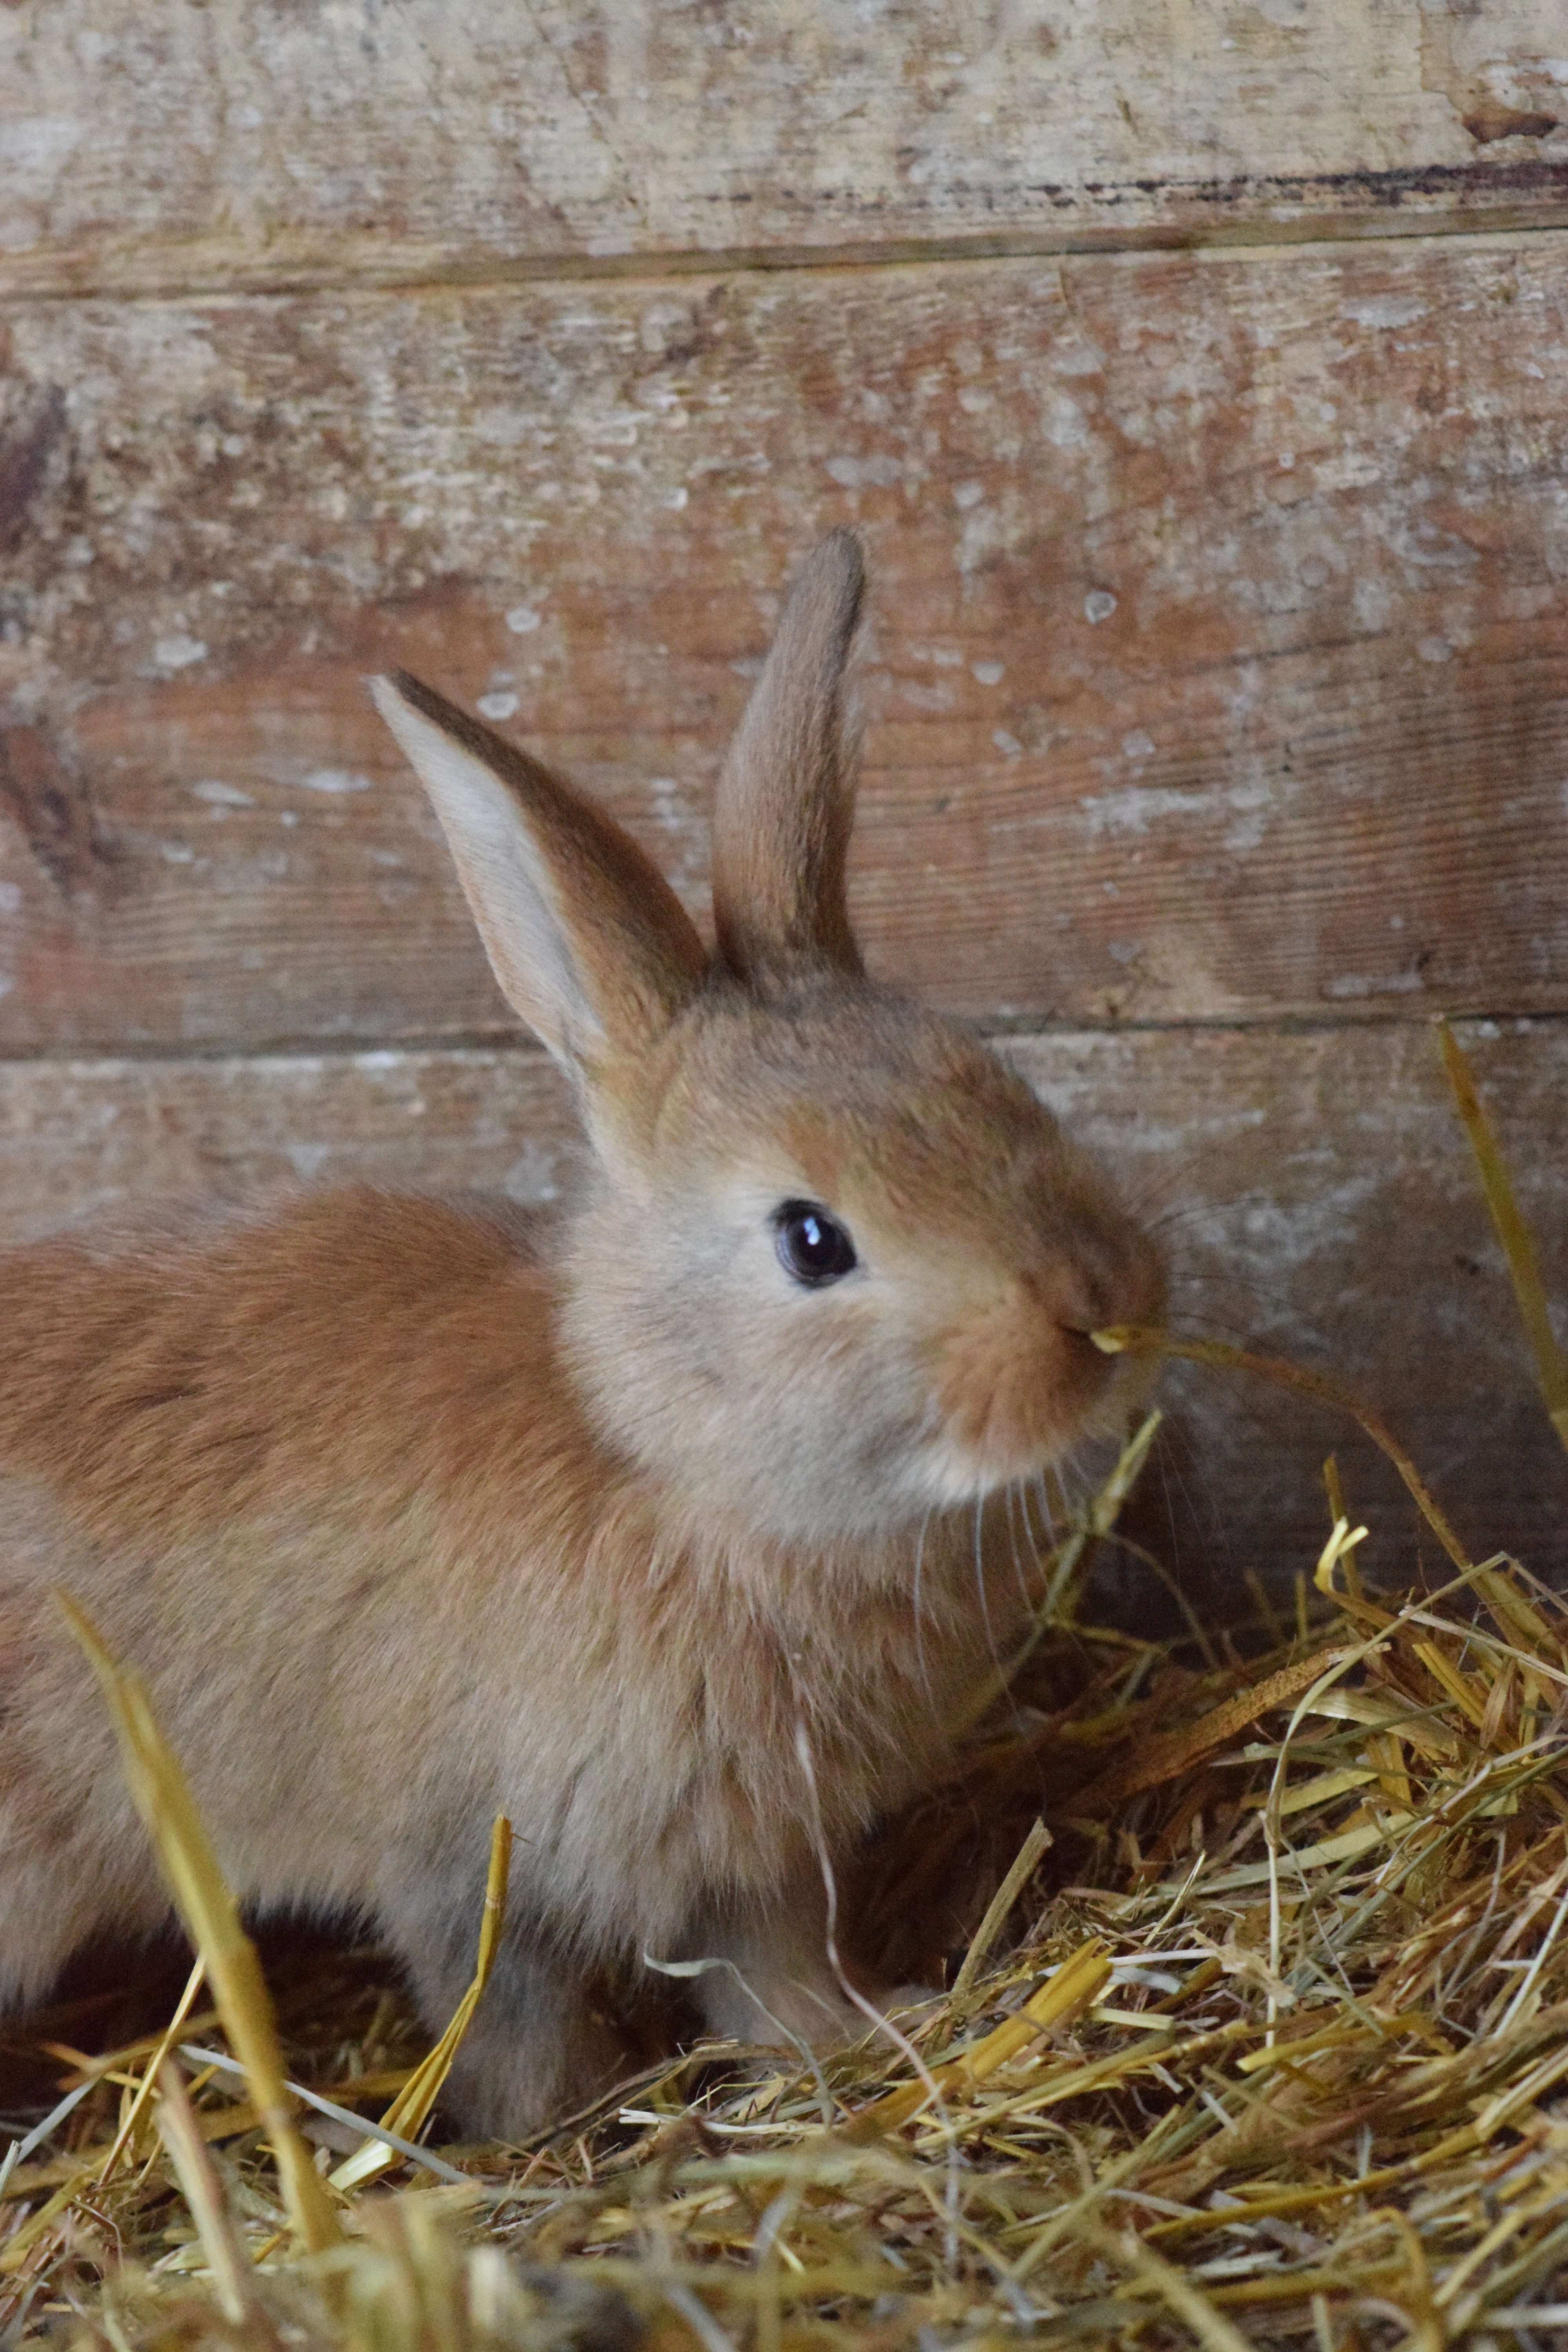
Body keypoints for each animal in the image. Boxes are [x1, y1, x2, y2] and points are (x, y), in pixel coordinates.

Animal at [0, 531, 1164, 2139]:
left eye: (997, 1082)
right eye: (812, 1239)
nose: (1108, 1310)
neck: (661, 1453)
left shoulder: (753, 1848)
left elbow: (772, 1970)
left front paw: (854, 2034)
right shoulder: (464, 1851)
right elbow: (509, 2011)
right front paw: (569, 2132)